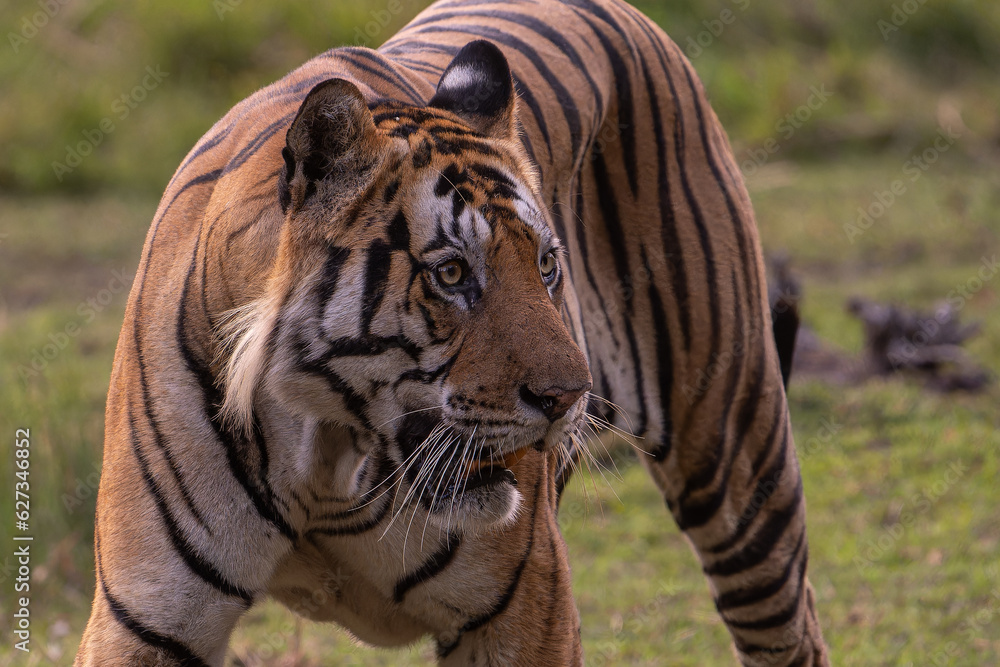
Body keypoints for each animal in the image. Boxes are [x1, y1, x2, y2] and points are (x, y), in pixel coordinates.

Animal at [76, 0, 828, 665]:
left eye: (546, 264)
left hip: (735, 460)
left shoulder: (523, 612)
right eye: (451, 273)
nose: (568, 397)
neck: (323, 455)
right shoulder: (146, 619)